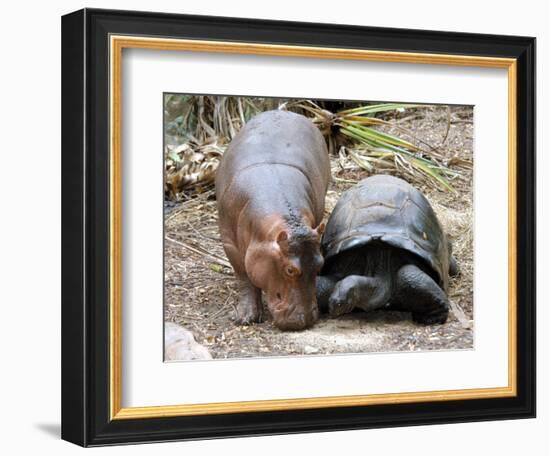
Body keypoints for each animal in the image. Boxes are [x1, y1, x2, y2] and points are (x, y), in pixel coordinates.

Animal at [216, 110, 330, 332]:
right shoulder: (229, 244)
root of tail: (284, 110)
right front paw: (245, 318)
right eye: (290, 269)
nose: (305, 319)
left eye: (320, 264)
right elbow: (244, 277)